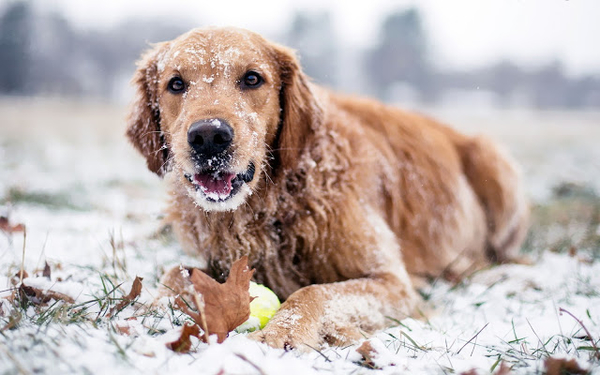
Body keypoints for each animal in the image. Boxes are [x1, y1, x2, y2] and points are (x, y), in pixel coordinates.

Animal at [125, 27, 524, 352]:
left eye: (252, 79)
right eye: (176, 84)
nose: (209, 136)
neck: (276, 202)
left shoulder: (393, 283)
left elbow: (314, 290)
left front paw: (282, 332)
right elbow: (176, 272)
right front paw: (148, 307)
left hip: (496, 165)